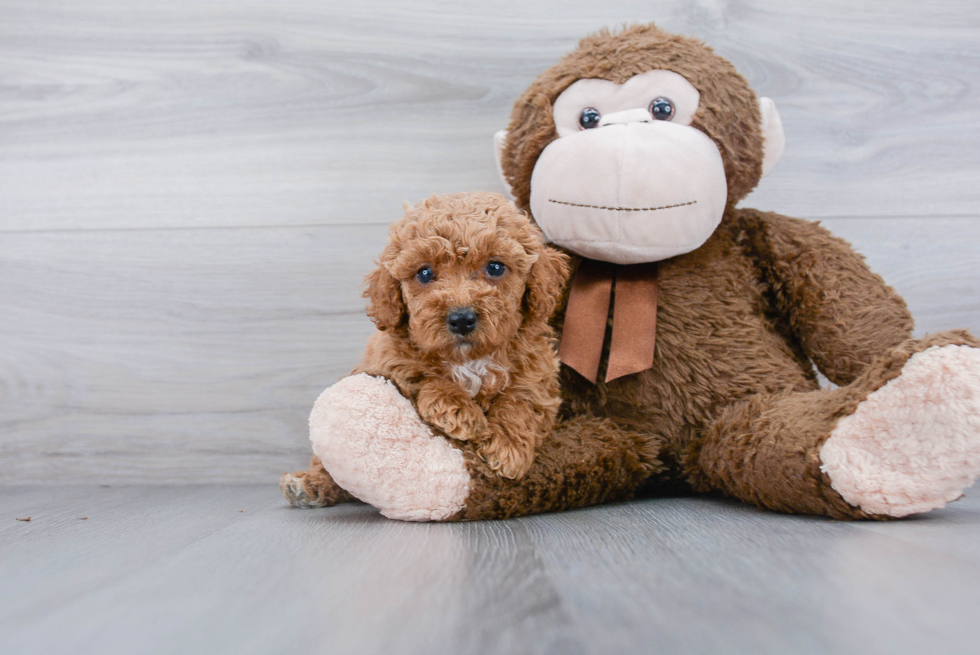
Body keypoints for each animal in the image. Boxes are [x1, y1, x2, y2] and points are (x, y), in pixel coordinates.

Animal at [352, 192, 572, 480]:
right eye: (424, 273)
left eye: (496, 267)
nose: (461, 319)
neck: (470, 359)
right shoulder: (387, 359)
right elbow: (419, 375)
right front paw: (457, 410)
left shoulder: (539, 373)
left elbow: (522, 398)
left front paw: (507, 445)